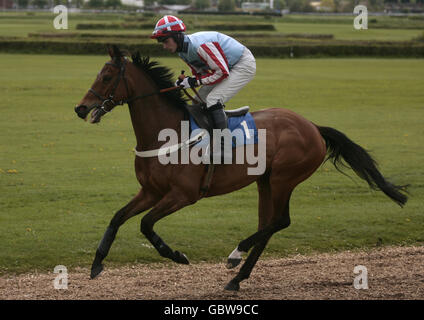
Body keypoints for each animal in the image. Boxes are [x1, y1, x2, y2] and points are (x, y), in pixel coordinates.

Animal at [75, 45, 408, 292]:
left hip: (284, 178)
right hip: (265, 181)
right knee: (268, 225)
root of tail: (313, 126)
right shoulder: (150, 191)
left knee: (280, 221)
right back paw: (237, 278)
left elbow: (145, 224)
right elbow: (118, 217)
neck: (167, 132)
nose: (80, 108)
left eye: (107, 76)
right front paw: (97, 263)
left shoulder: (183, 195)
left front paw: (177, 255)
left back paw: (235, 256)